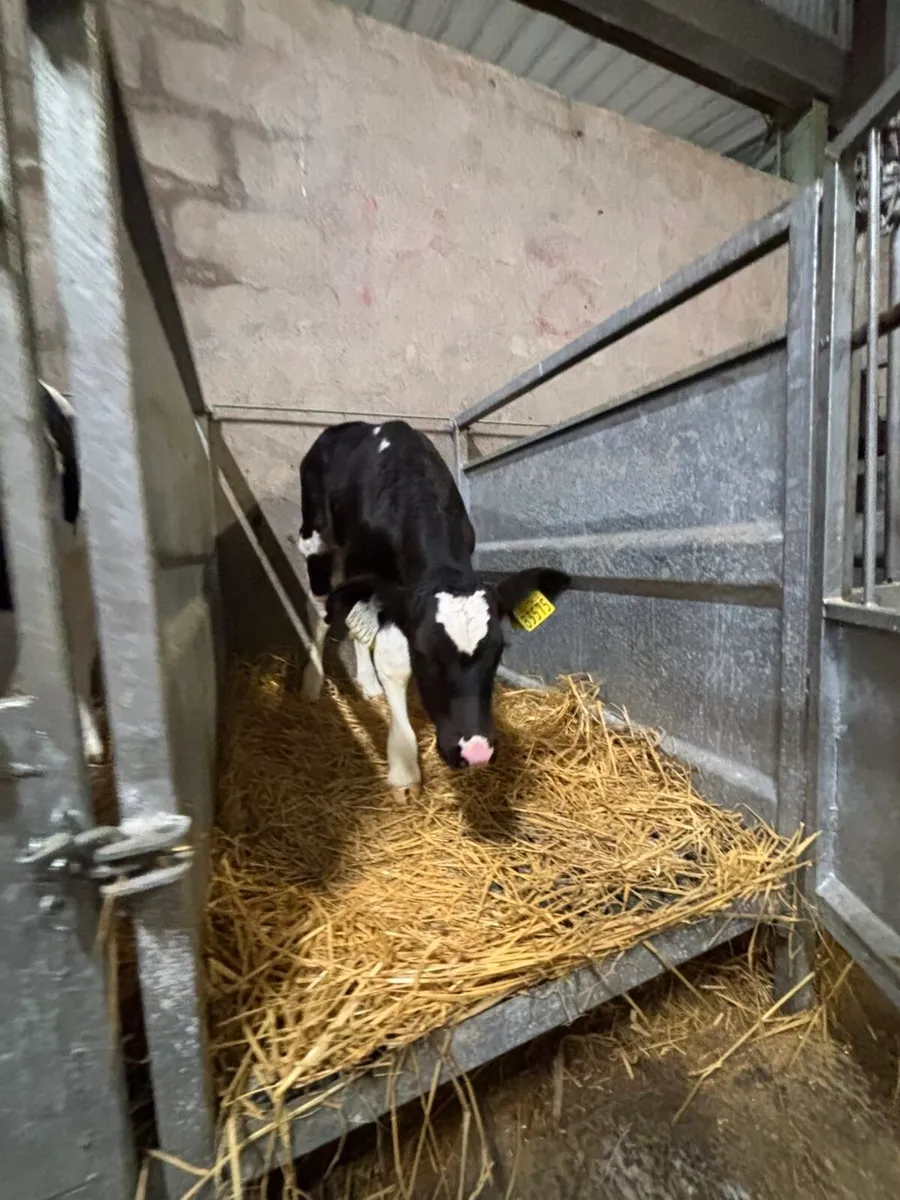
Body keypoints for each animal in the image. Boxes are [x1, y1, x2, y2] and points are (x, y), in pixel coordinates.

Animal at [295, 420, 570, 794]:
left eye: (499, 650)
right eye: (425, 654)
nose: (476, 752)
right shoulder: (377, 580)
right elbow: (391, 659)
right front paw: (403, 767)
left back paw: (366, 682)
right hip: (316, 538)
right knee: (324, 607)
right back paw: (312, 680)